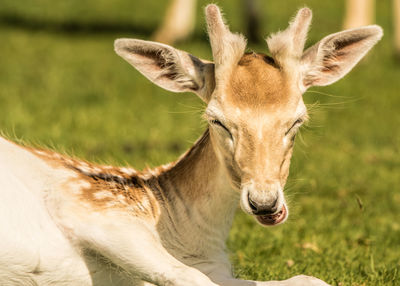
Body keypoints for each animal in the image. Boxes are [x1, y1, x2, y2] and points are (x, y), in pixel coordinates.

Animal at [0, 4, 382, 286]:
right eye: (216, 119)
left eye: (297, 120)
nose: (264, 203)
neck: (191, 239)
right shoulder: (88, 205)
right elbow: (189, 277)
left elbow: (310, 278)